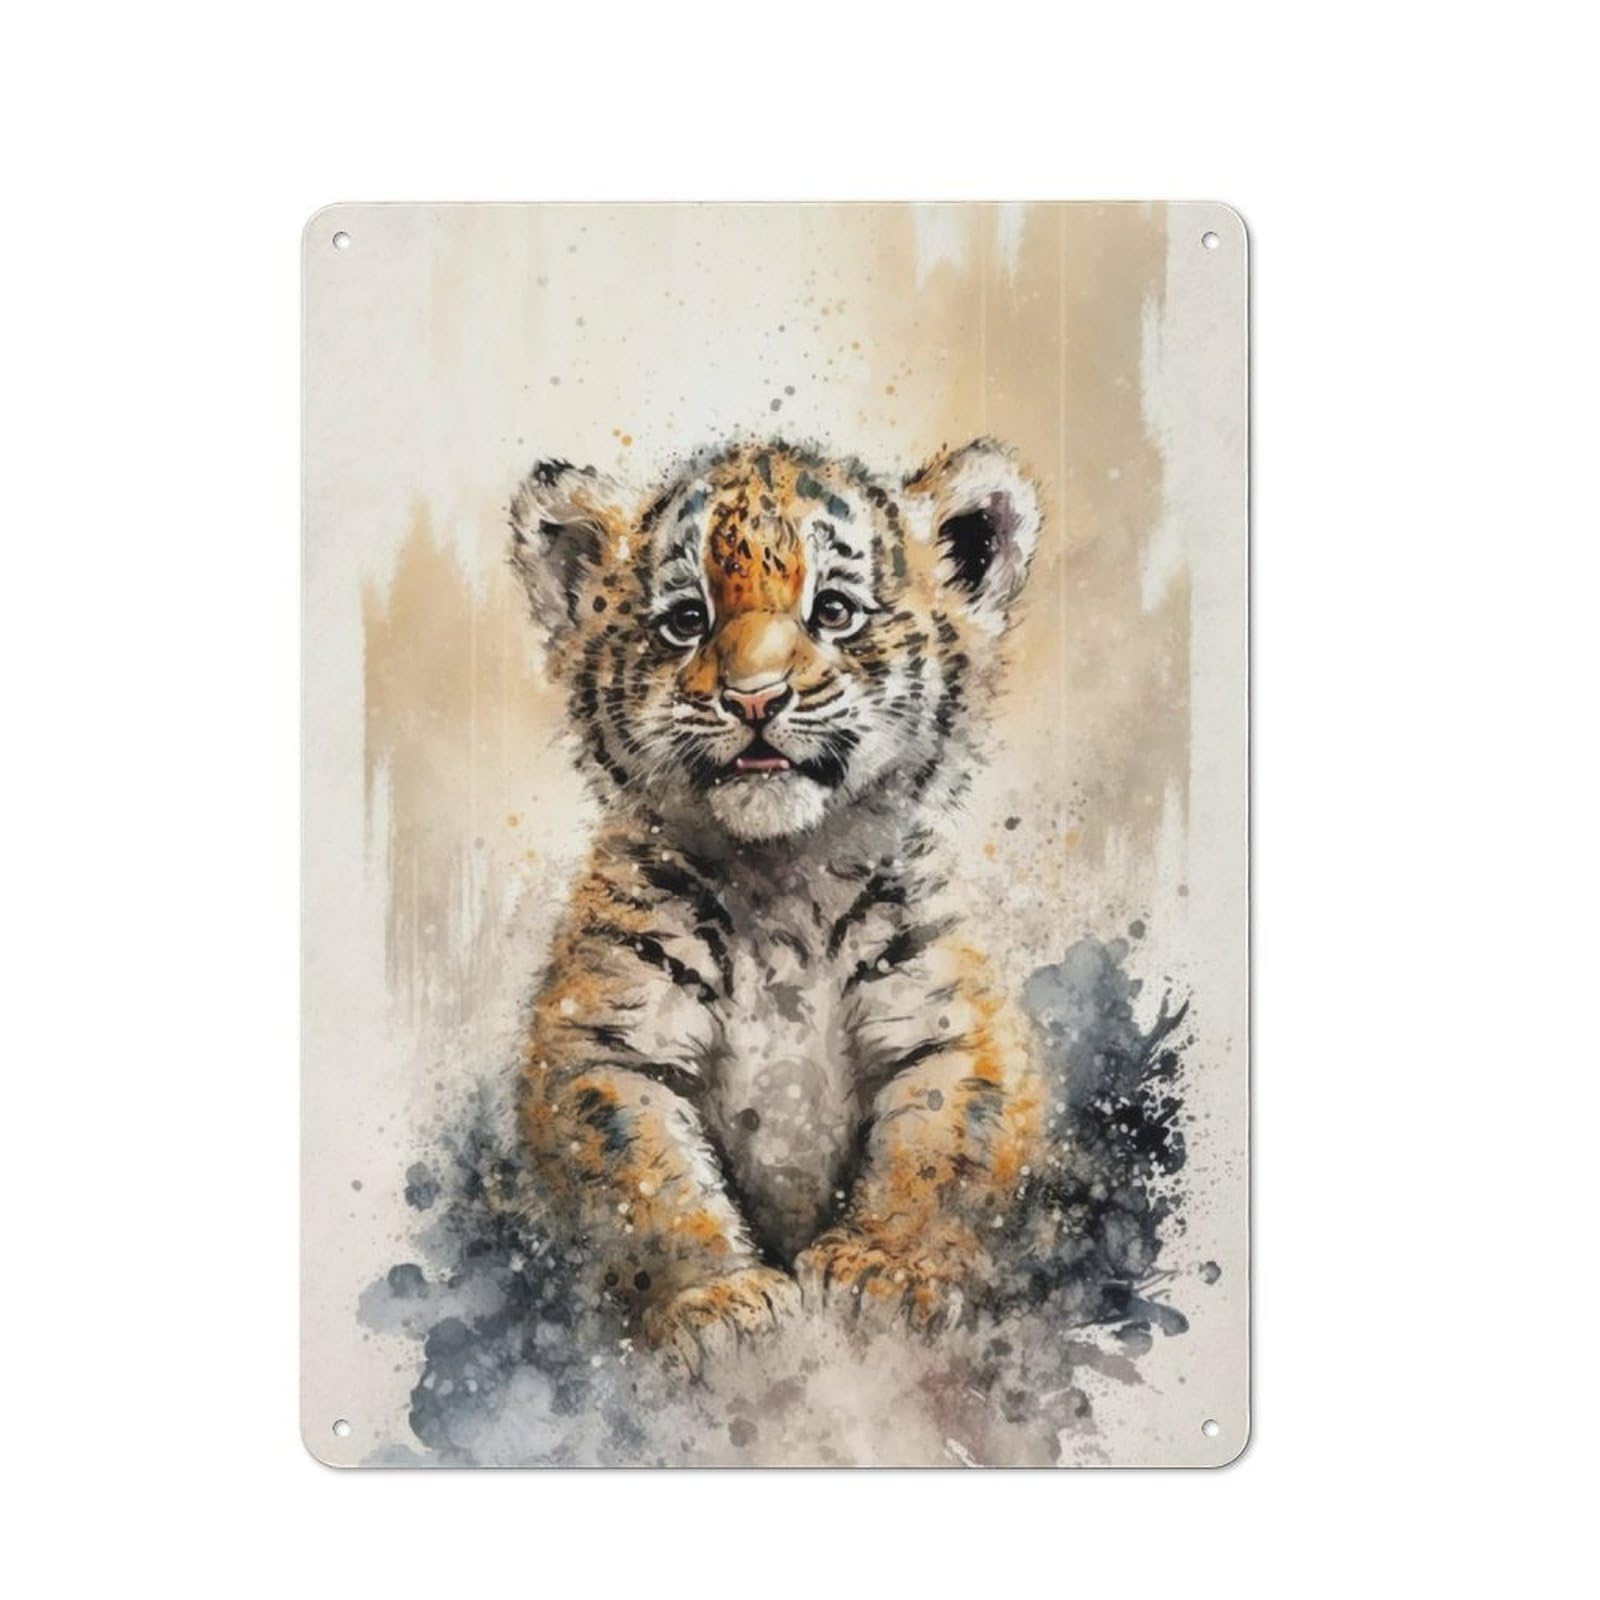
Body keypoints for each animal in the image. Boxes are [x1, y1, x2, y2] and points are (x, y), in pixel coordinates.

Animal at [509, 437, 1049, 1375]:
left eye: (833, 610)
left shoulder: (952, 1027)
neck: (780, 876)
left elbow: (937, 1148)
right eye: (686, 620)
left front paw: (884, 1270)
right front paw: (716, 1303)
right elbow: (647, 1178)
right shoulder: (603, 1043)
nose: (755, 697)